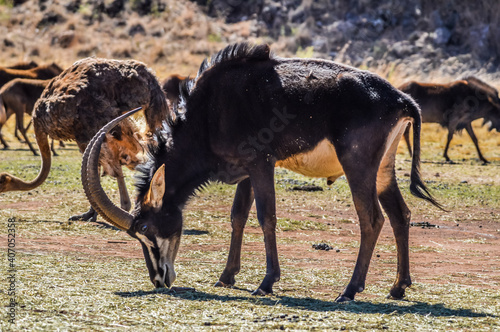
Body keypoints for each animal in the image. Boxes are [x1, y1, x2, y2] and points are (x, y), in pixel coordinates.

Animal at [0, 56, 169, 222]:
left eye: (2, 182)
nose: (1, 191)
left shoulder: (85, 136)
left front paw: (91, 214)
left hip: (96, 126)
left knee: (110, 164)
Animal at [84, 42, 444, 302]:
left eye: (145, 228)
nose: (160, 280)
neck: (208, 111)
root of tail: (401, 100)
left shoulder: (261, 164)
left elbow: (265, 216)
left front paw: (266, 282)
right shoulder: (244, 171)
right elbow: (238, 216)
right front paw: (226, 276)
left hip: (358, 166)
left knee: (372, 219)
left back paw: (349, 290)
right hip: (383, 169)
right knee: (400, 215)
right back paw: (398, 287)